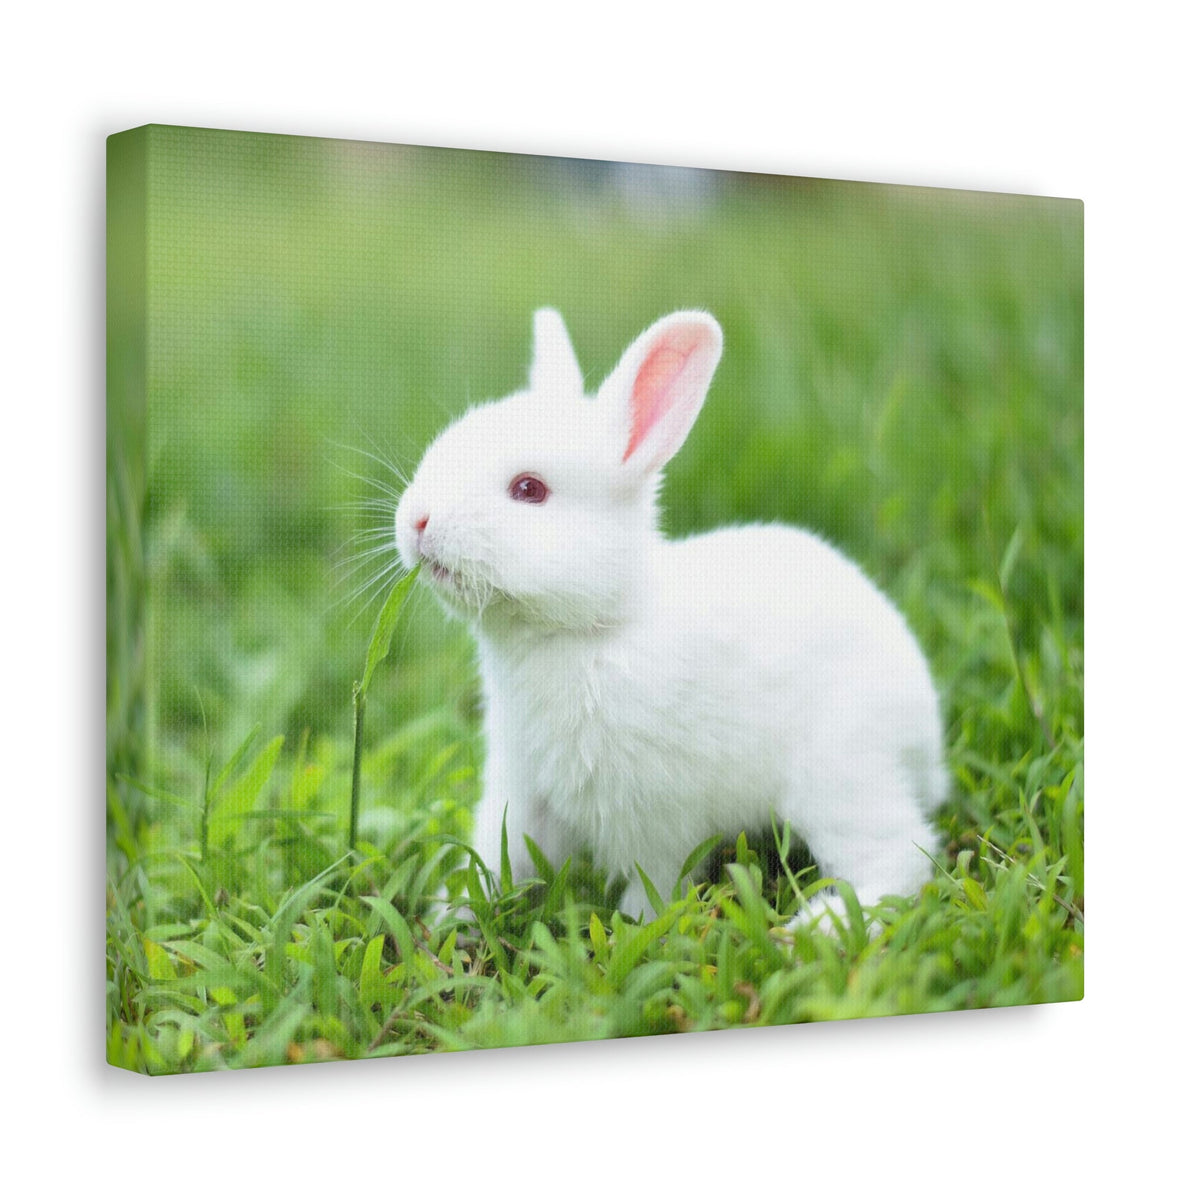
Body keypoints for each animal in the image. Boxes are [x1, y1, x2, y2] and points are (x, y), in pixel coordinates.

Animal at [394, 308, 947, 929]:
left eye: (529, 489)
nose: (417, 521)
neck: (588, 631)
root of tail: (926, 734)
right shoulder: (522, 791)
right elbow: (496, 858)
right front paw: (449, 918)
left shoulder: (653, 819)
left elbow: (653, 884)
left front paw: (636, 928)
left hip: (840, 776)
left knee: (900, 861)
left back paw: (809, 931)